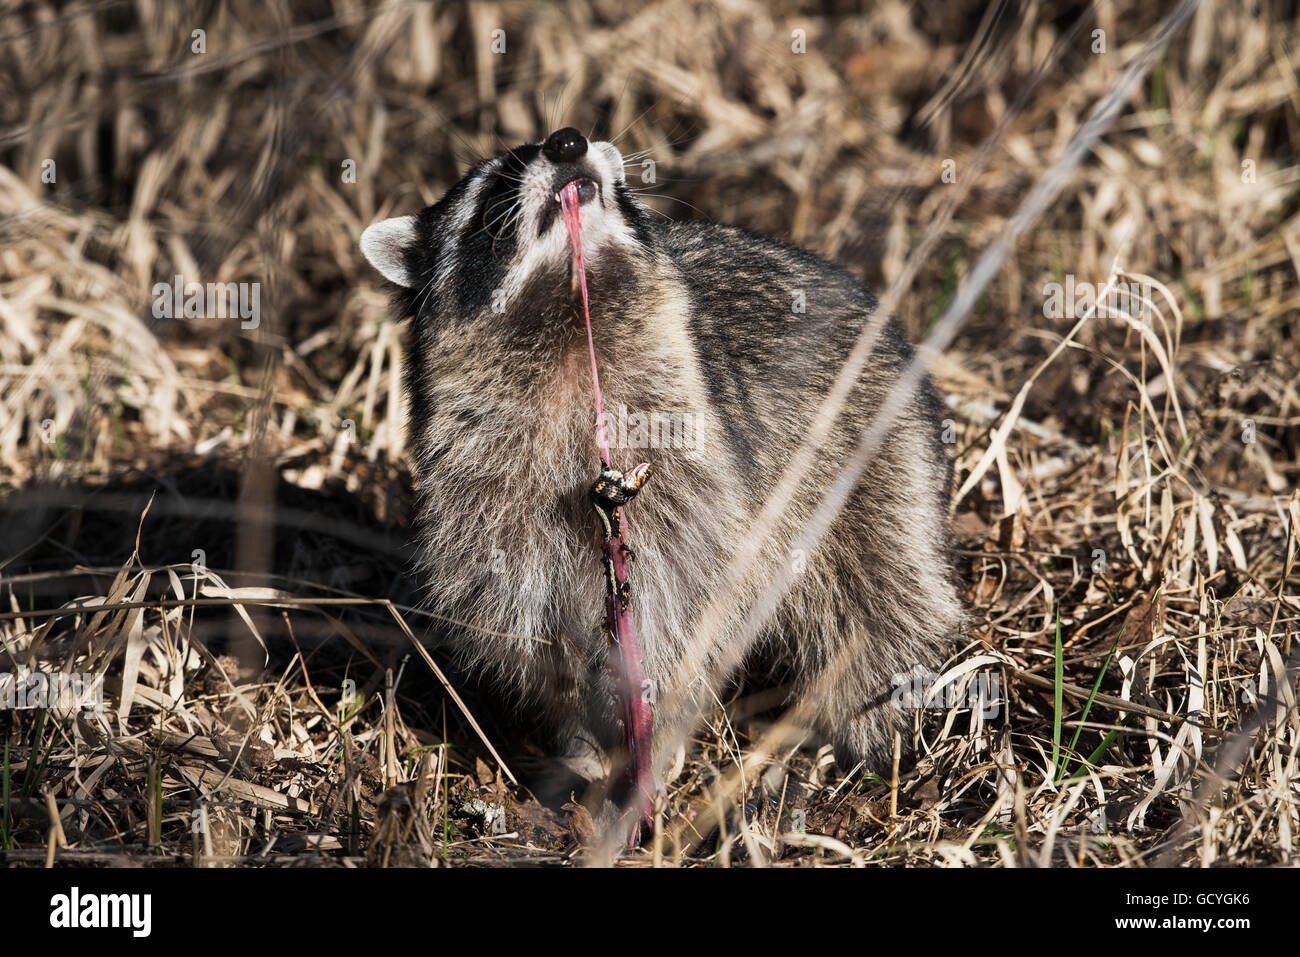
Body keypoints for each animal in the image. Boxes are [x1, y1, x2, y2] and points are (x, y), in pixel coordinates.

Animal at [360, 127, 962, 792]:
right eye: (496, 184)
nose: (567, 141)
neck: (570, 315)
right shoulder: (480, 490)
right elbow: (523, 621)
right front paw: (577, 731)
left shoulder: (693, 470)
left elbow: (689, 604)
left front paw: (659, 719)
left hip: (876, 448)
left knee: (884, 592)